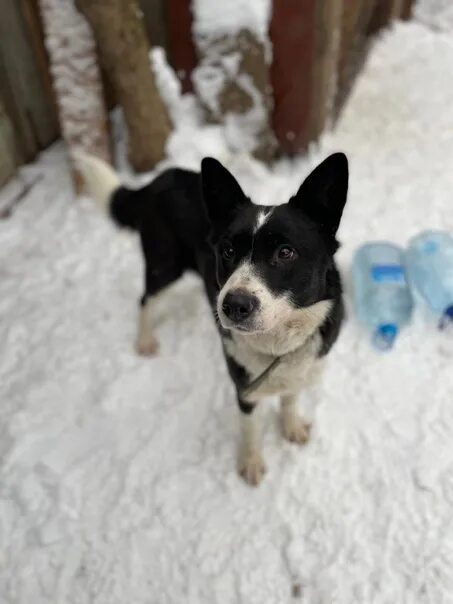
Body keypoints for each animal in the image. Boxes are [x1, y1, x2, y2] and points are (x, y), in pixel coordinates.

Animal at [77, 152, 348, 486]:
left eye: (286, 252)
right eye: (228, 250)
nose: (233, 305)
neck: (277, 343)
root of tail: (159, 179)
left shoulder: (302, 369)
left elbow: (290, 399)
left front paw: (292, 427)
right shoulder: (244, 388)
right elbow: (251, 427)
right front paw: (251, 463)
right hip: (164, 265)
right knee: (145, 300)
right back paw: (145, 340)